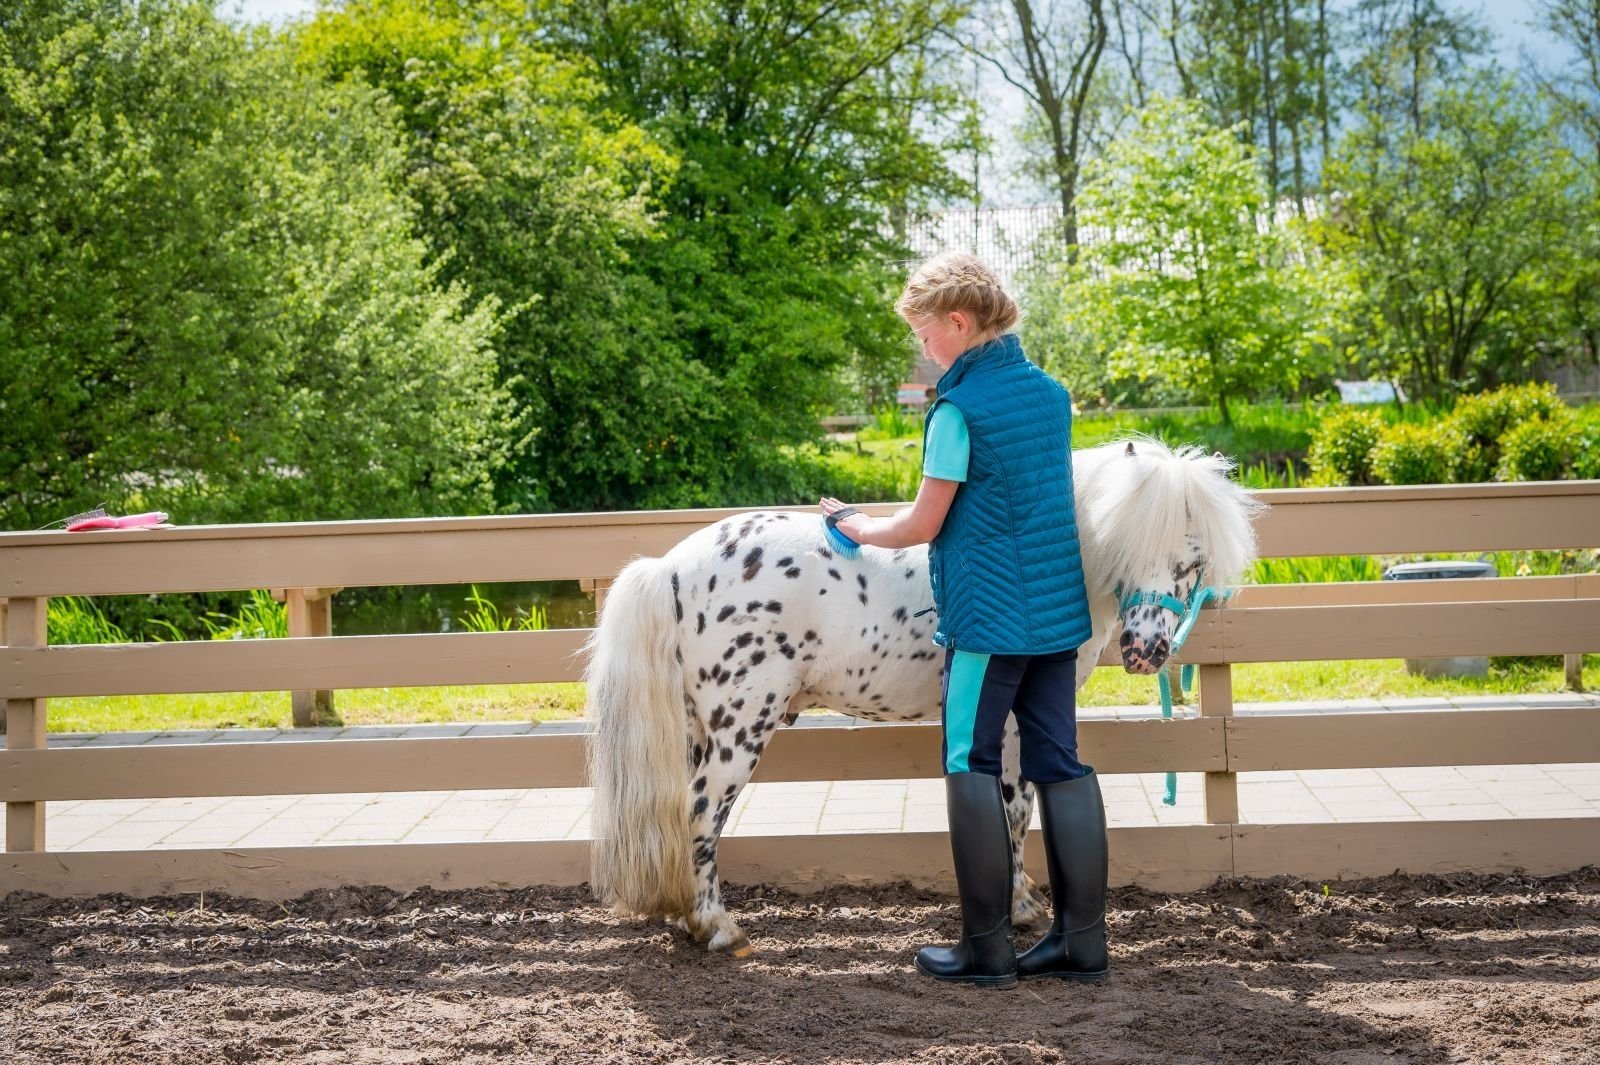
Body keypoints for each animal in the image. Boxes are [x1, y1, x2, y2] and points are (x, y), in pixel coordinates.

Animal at [583, 436, 1265, 955]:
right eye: (1129, 543)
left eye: (1192, 561)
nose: (1146, 649)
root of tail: (672, 568)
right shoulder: (1015, 726)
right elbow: (1017, 812)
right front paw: (1022, 908)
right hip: (740, 731)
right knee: (701, 815)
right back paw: (718, 928)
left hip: (700, 731)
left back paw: (688, 919)